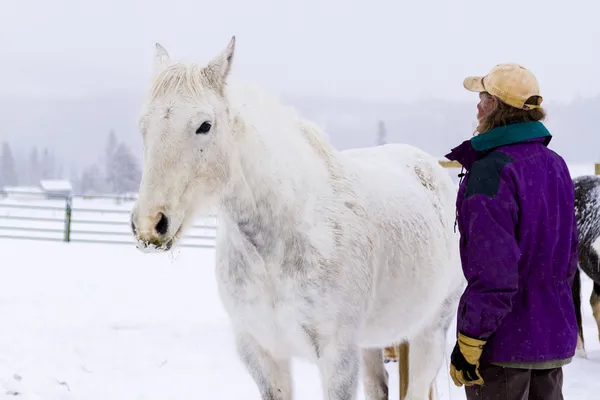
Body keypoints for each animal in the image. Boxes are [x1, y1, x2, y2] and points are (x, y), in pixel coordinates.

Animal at [131, 36, 464, 398]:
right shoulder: (262, 352)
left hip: (429, 332)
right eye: (143, 126)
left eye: (204, 126)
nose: (150, 223)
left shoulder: (337, 357)